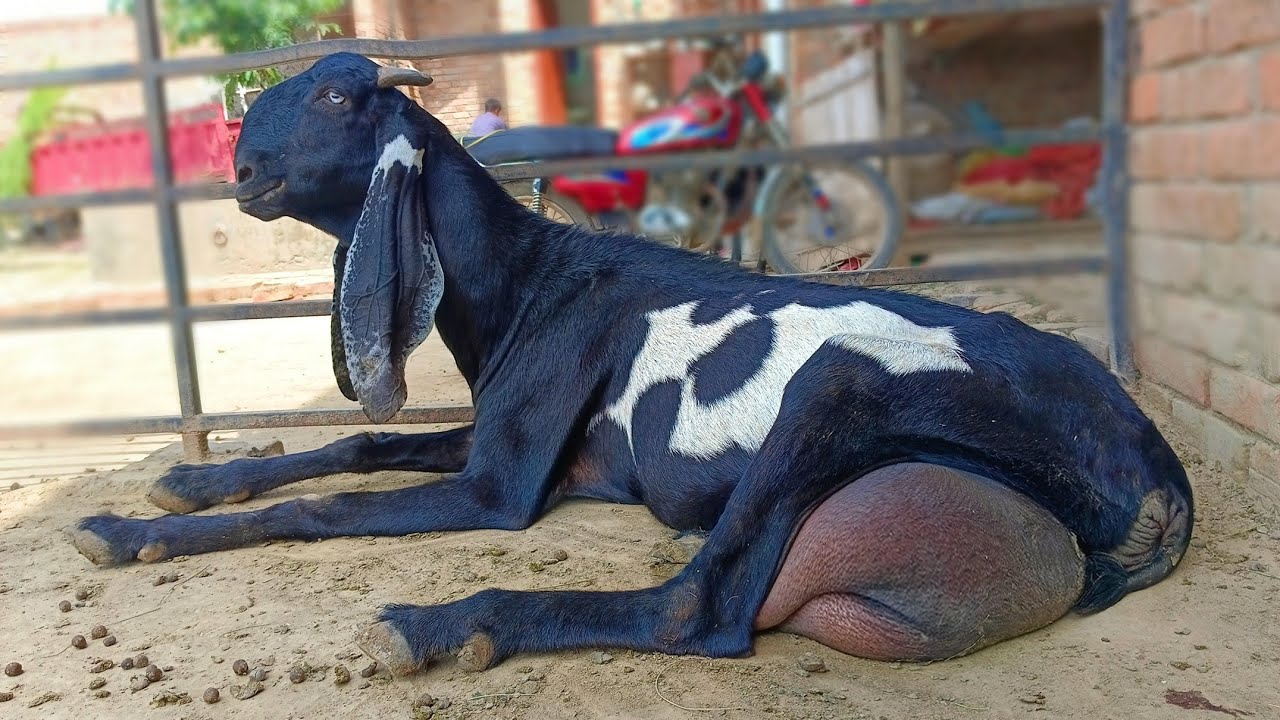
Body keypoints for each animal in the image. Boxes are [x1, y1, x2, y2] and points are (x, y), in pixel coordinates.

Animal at [69, 53, 1193, 675]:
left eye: (342, 96)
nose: (242, 170)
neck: (532, 278)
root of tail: (1146, 452)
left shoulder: (498, 487)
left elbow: (324, 506)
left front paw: (133, 531)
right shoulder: (506, 440)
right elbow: (351, 447)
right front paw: (175, 493)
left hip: (839, 382)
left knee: (696, 609)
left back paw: (444, 626)